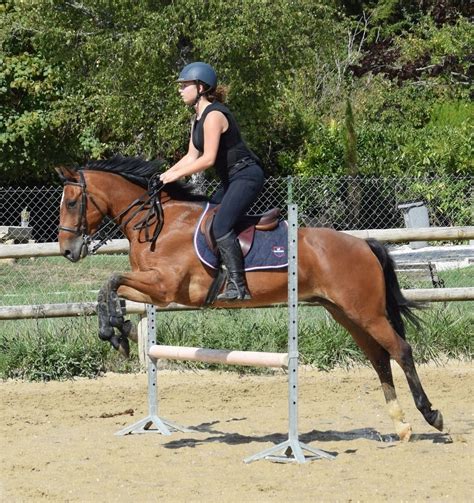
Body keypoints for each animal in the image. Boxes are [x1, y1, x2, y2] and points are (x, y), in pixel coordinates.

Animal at [56, 158, 444, 440]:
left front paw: (113, 331)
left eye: (72, 202)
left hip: (365, 312)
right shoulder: (154, 288)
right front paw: (117, 331)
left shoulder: (167, 288)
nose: (67, 251)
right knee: (379, 358)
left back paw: (431, 415)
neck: (156, 224)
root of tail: (364, 244)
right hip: (345, 313)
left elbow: (110, 281)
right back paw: (401, 425)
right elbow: (110, 289)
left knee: (400, 350)